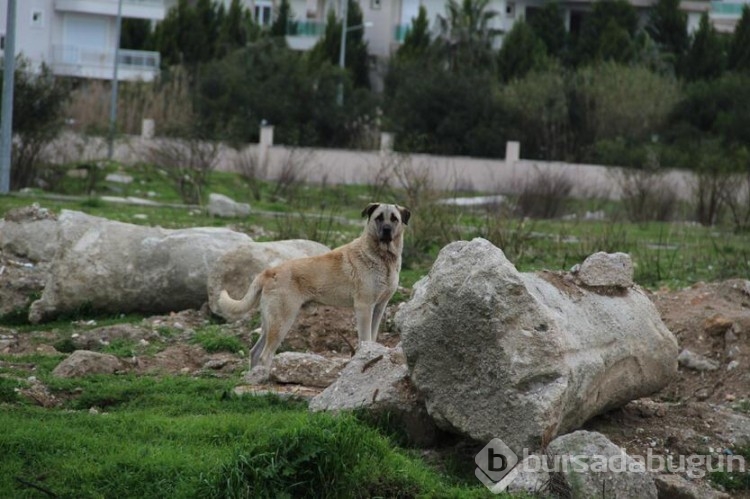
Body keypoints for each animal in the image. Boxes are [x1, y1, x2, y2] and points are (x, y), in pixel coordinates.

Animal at [217, 203, 412, 372]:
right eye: (379, 218)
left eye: (394, 219)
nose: (386, 230)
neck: (382, 257)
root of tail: (269, 272)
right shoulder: (364, 307)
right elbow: (365, 337)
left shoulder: (379, 307)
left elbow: (373, 335)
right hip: (282, 321)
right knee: (265, 355)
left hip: (270, 321)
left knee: (255, 352)